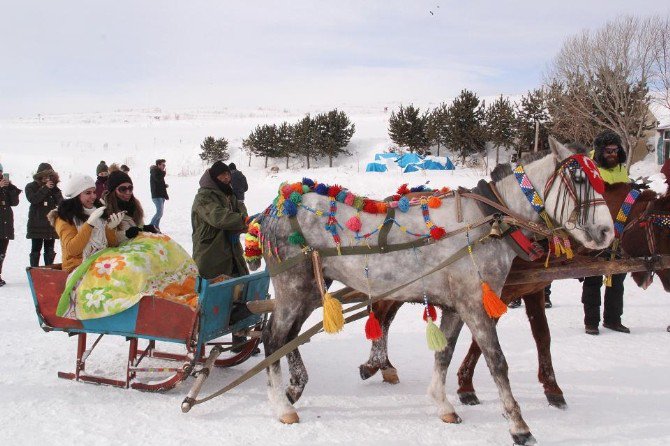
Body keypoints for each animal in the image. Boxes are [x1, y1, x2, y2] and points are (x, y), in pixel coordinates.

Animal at [248, 139, 616, 442]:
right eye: (579, 180)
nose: (606, 232)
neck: (489, 221)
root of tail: (275, 208)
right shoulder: (475, 304)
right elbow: (497, 362)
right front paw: (518, 426)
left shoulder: (456, 306)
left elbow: (445, 353)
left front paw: (443, 405)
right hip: (292, 287)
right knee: (272, 338)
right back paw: (282, 406)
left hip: (310, 290)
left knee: (290, 337)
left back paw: (294, 388)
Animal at [360, 181, 664, 408]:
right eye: (663, 226)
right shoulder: (495, 294)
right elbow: (482, 339)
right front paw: (466, 385)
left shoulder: (533, 289)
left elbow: (542, 336)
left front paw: (553, 389)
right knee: (381, 313)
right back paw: (376, 364)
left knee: (385, 316)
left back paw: (382, 365)